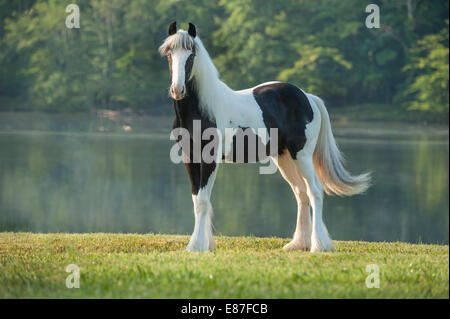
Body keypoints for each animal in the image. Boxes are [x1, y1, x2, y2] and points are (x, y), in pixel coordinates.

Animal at [158, 21, 370, 252]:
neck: (204, 109)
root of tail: (308, 97)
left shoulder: (210, 159)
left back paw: (318, 245)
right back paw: (298, 244)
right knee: (301, 193)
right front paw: (206, 245)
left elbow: (203, 201)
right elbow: (198, 199)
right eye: (169, 54)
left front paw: (196, 246)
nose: (178, 90)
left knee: (314, 191)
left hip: (302, 155)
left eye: (191, 54)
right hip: (284, 157)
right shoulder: (190, 157)